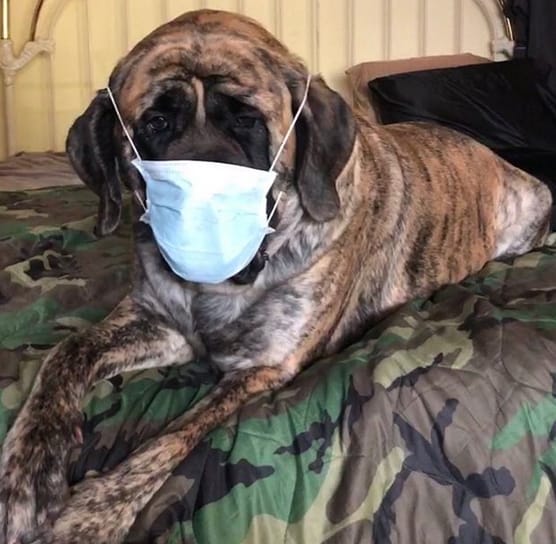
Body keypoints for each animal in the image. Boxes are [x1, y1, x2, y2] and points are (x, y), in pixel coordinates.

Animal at [0, 9, 551, 544]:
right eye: (155, 122)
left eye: (247, 121)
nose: (204, 206)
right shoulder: (159, 324)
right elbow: (65, 353)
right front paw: (30, 474)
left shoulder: (263, 365)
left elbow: (181, 431)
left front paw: (94, 512)